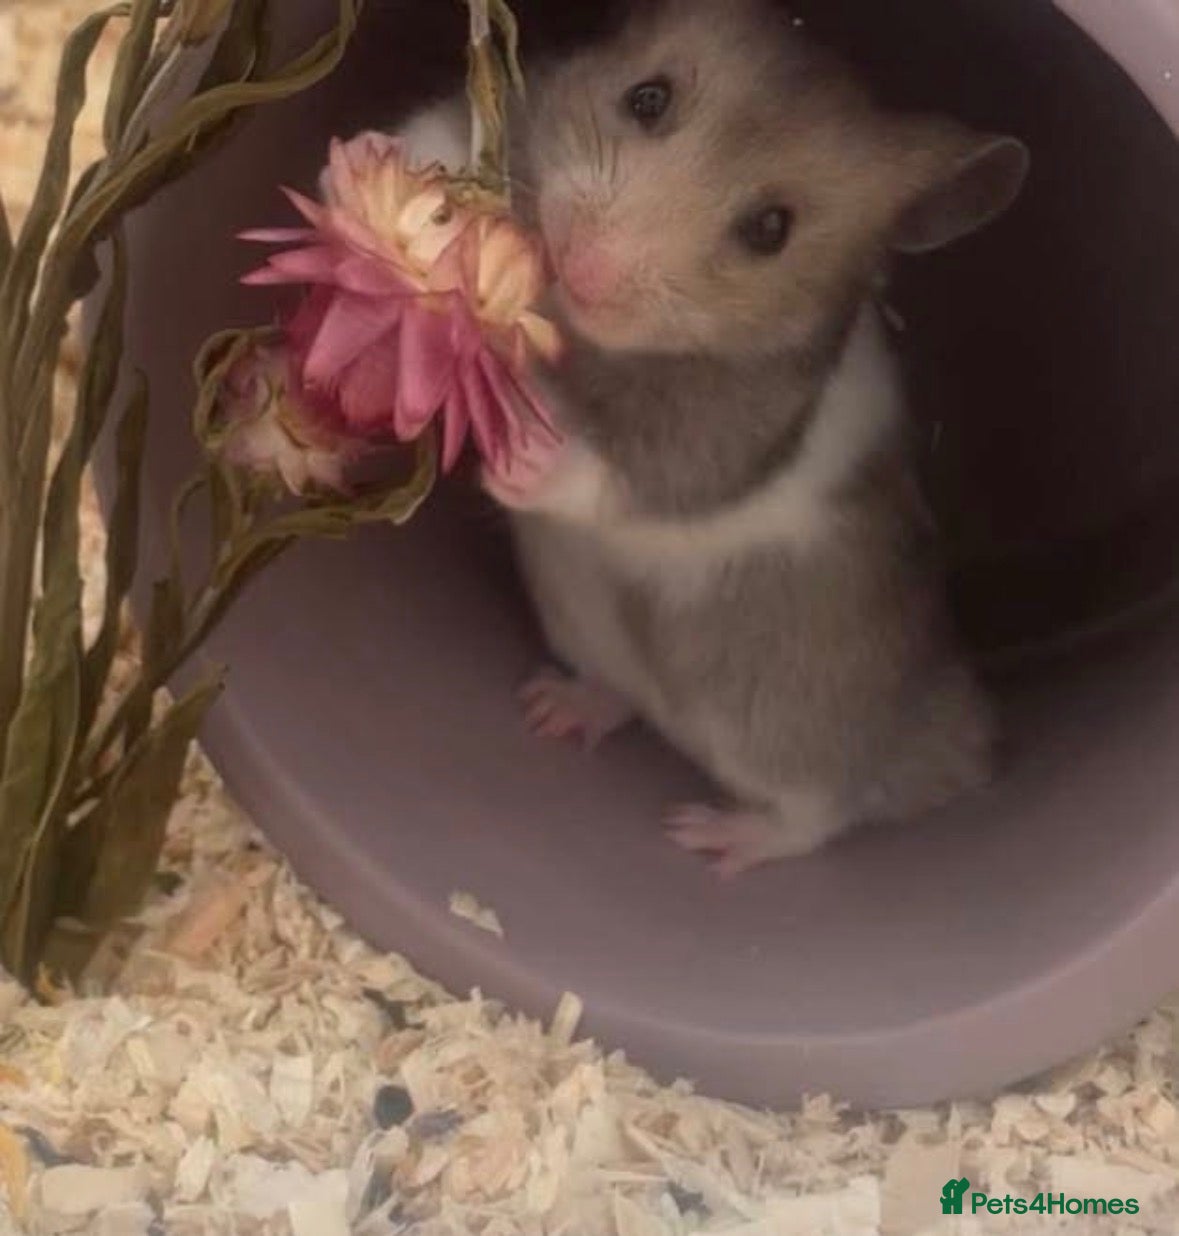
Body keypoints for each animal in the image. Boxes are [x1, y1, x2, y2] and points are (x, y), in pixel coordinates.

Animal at [399, 0, 1029, 876]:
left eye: (771, 228)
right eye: (647, 99)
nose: (582, 269)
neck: (578, 335)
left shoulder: (734, 430)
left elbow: (643, 470)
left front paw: (522, 453)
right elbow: (446, 131)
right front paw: (386, 183)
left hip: (780, 731)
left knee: (821, 814)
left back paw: (708, 838)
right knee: (622, 698)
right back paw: (551, 711)